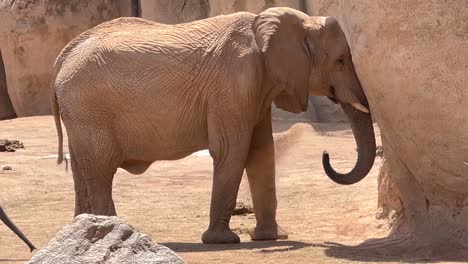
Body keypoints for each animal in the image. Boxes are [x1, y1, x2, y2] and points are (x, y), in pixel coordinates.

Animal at [51, 6, 376, 243]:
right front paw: (223, 241)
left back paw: (80, 231)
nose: (326, 154)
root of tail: (62, 59)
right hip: (90, 108)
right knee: (101, 167)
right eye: (341, 60)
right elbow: (233, 151)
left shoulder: (257, 89)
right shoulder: (234, 83)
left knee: (82, 167)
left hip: (80, 112)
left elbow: (261, 152)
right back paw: (111, 230)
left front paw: (271, 238)